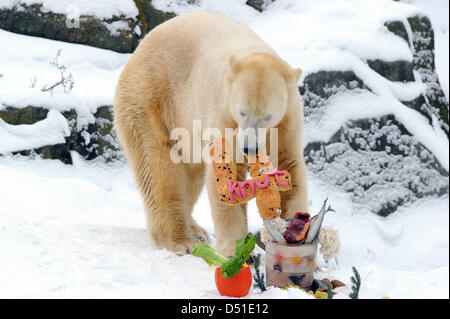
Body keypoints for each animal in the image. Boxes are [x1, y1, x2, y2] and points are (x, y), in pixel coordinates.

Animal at [114, 11, 308, 258]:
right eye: (242, 111)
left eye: (268, 115)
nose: (249, 147)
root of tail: (137, 51)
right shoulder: (223, 112)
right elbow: (225, 171)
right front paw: (235, 250)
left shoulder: (288, 118)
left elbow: (288, 165)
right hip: (151, 99)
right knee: (159, 168)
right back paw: (181, 240)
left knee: (189, 173)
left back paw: (196, 230)